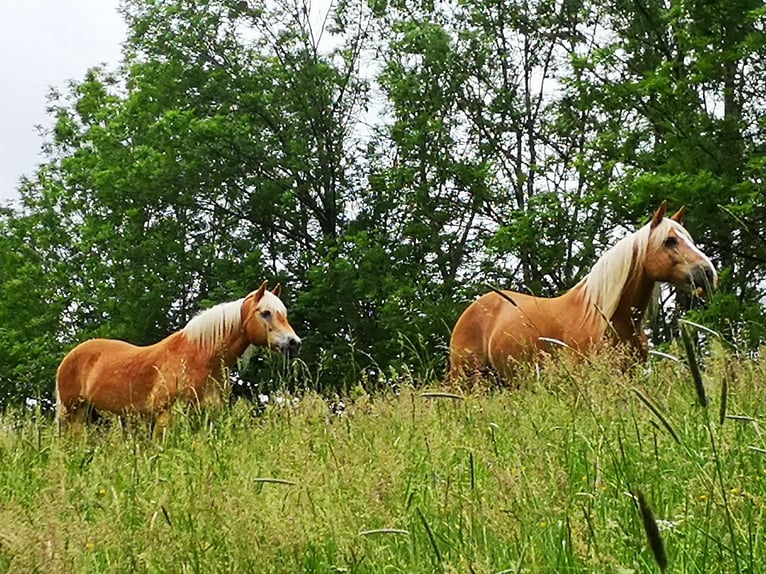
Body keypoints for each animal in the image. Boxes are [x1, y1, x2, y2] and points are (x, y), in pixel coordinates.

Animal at [55, 282, 302, 434]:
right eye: (265, 313)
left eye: (284, 314)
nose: (294, 342)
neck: (198, 358)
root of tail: (70, 357)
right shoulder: (166, 417)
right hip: (73, 414)